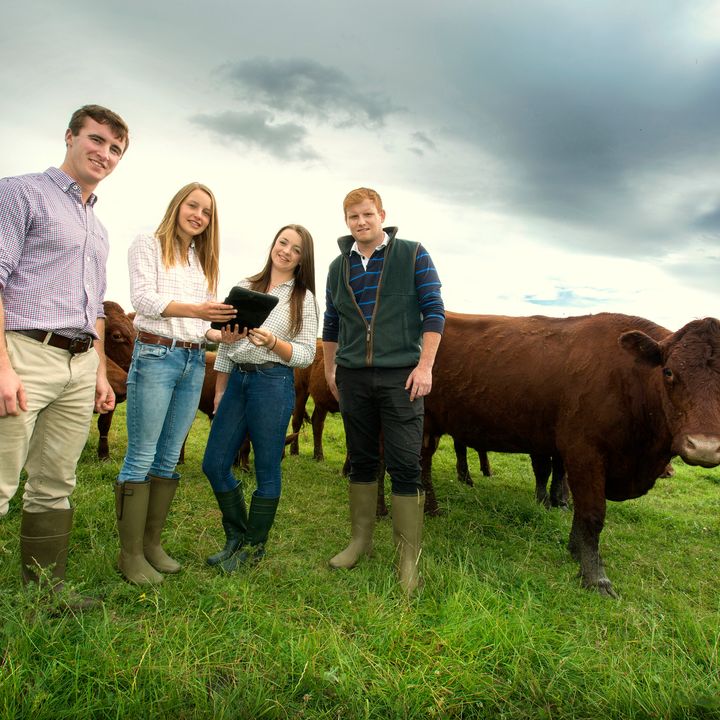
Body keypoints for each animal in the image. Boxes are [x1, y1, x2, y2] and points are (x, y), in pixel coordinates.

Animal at [422, 310, 720, 596]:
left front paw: (574, 548)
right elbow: (591, 514)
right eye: (668, 372)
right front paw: (595, 577)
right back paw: (431, 508)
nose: (704, 446)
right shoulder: (584, 453)